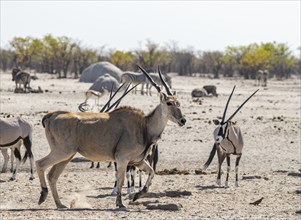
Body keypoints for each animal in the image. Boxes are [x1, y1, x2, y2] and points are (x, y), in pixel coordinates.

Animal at [35, 64, 185, 209]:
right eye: (169, 103)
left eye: (178, 103)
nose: (183, 120)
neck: (144, 125)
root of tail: (52, 115)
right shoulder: (122, 159)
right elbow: (121, 179)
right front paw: (120, 203)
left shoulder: (137, 161)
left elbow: (151, 172)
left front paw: (137, 195)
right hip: (62, 152)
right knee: (40, 164)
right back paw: (43, 195)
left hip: (67, 156)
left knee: (52, 176)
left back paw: (60, 204)